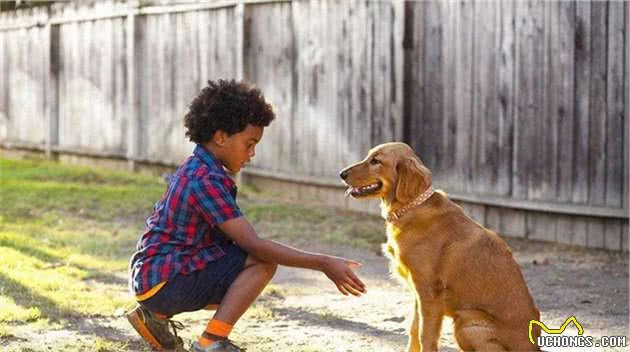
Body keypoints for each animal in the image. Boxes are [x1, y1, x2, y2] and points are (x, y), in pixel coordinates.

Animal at [340, 143, 544, 352]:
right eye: (369, 157)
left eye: (376, 161)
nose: (341, 174)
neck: (411, 207)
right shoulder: (418, 292)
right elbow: (414, 329)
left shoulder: (429, 293)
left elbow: (426, 336)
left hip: (467, 324)